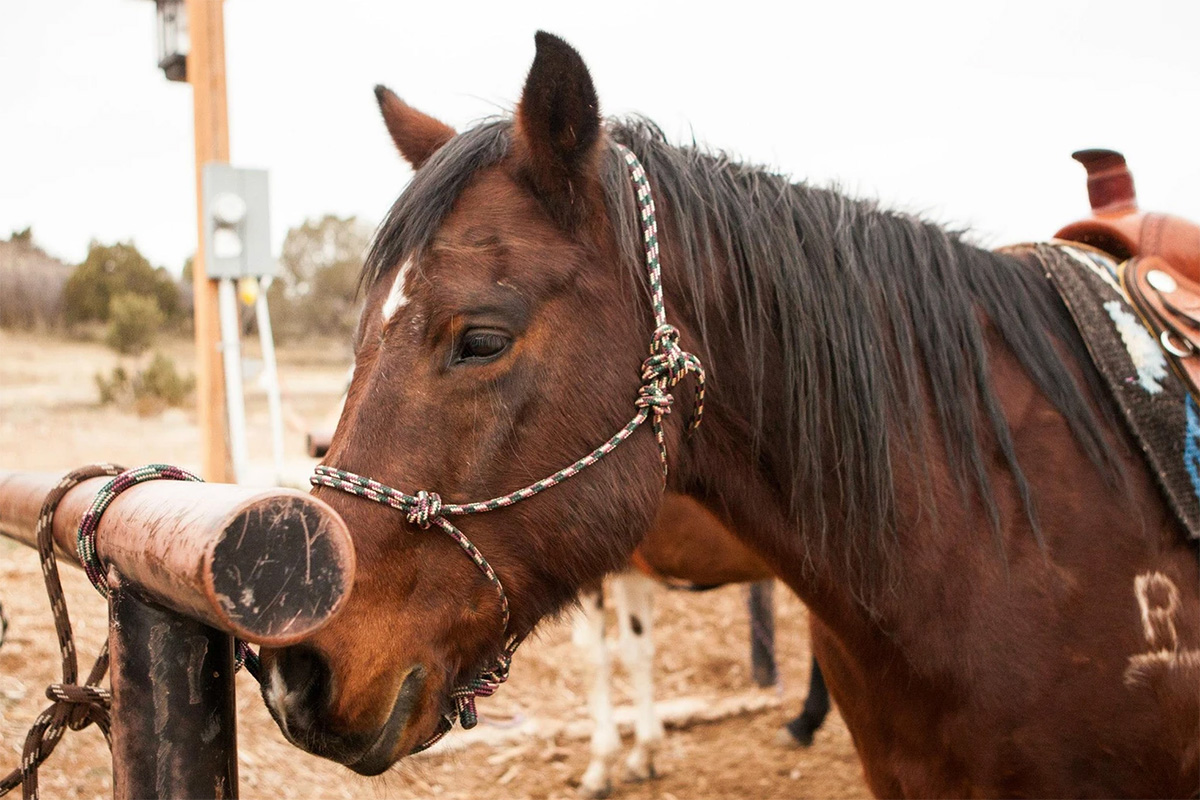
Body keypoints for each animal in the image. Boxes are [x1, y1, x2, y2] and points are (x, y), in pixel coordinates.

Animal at [574, 493, 830, 798]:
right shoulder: (630, 568)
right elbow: (635, 651)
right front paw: (644, 755)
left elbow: (593, 658)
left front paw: (600, 769)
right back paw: (803, 725)